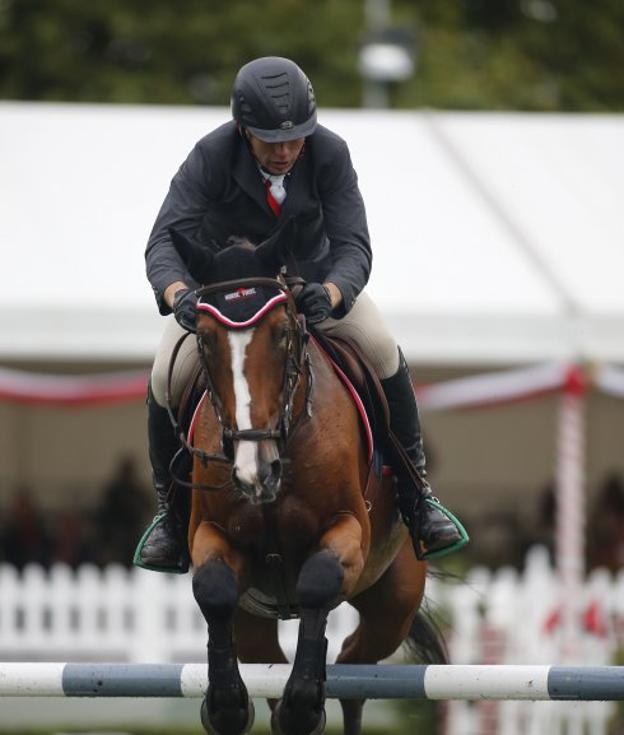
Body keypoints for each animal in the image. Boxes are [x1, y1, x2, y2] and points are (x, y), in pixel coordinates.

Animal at [168, 223, 446, 735]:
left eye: (281, 333)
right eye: (205, 339)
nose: (255, 472)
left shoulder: (349, 530)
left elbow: (318, 582)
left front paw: (303, 705)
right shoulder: (210, 535)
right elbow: (212, 588)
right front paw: (225, 706)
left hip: (393, 602)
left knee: (356, 666)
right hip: (254, 619)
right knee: (267, 658)